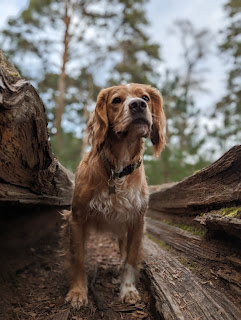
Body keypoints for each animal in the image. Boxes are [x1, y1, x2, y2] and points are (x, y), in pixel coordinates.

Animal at [61, 84, 166, 308]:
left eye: (145, 97)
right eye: (116, 100)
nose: (138, 105)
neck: (117, 170)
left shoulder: (136, 221)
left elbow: (130, 259)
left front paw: (128, 290)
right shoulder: (77, 218)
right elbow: (78, 258)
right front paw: (78, 292)